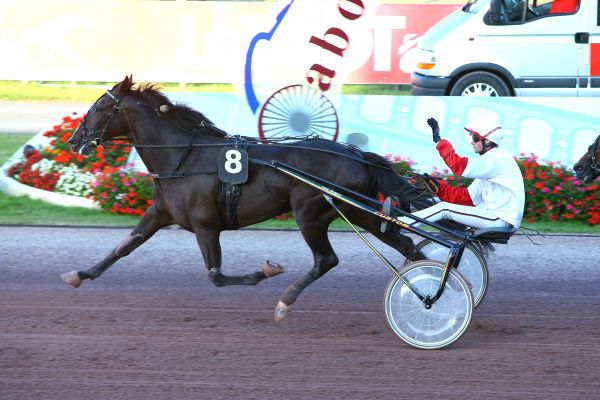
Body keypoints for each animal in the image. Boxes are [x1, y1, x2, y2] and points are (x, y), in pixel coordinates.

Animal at [62, 76, 432, 322]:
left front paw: (265, 271)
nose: (74, 139)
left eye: (100, 107)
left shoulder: (206, 225)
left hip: (310, 212)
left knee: (326, 260)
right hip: (359, 211)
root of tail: (356, 154)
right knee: (404, 244)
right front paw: (80, 274)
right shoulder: (159, 213)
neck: (182, 158)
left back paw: (286, 300)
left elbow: (216, 275)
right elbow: (123, 247)